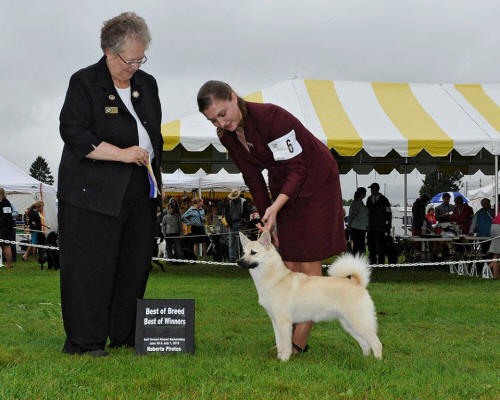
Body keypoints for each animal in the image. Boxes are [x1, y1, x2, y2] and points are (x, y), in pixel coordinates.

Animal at [238, 228, 382, 362]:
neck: (276, 279)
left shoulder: (284, 322)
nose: (239, 261)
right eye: (243, 252)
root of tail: (357, 283)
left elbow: (285, 344)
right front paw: (278, 357)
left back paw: (377, 364)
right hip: (349, 324)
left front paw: (284, 360)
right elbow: (279, 343)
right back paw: (365, 360)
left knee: (376, 343)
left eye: (253, 252)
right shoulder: (275, 321)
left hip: (359, 322)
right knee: (365, 344)